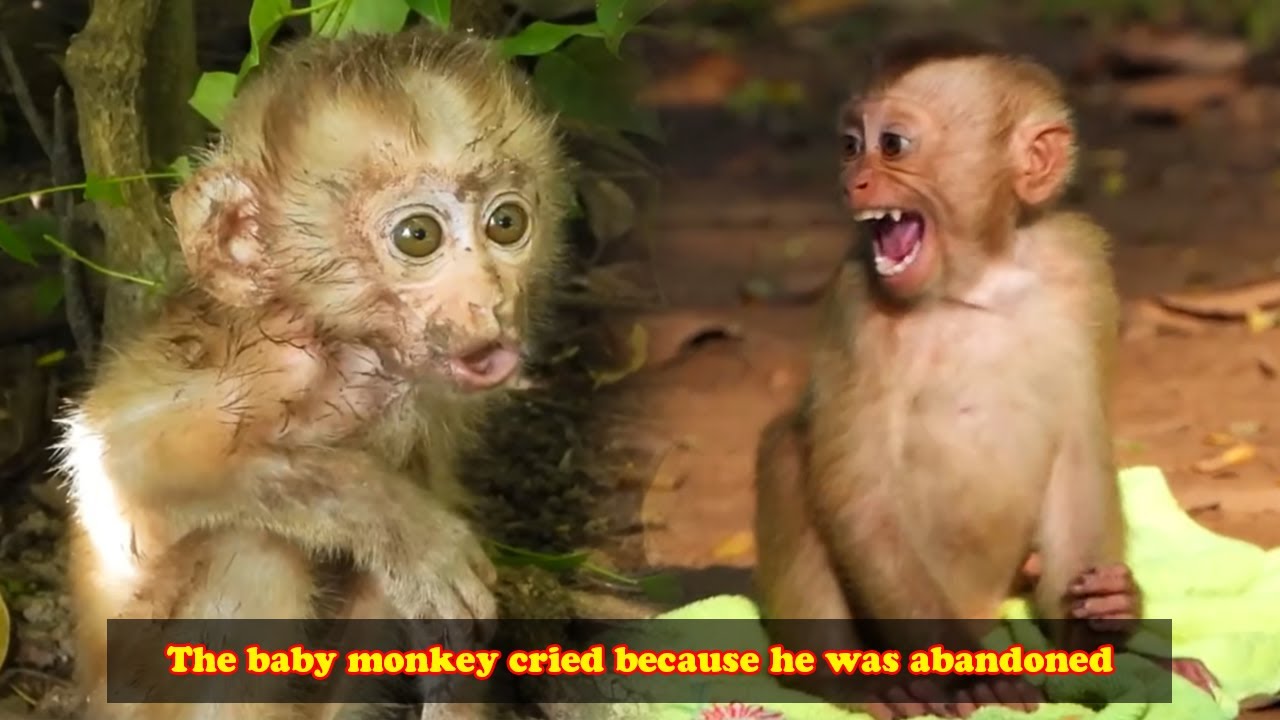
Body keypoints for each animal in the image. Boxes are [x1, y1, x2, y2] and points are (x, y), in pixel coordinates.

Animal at [56, 28, 574, 720]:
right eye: (418, 236)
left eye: (507, 224)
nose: (492, 298)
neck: (352, 358)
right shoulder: (259, 367)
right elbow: (119, 463)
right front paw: (398, 524)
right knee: (253, 547)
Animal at [753, 34, 1206, 719]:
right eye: (851, 145)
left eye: (893, 145)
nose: (853, 180)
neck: (976, 280)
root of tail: (984, 608)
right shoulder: (856, 297)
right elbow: (860, 489)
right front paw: (967, 675)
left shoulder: (1081, 268)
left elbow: (1079, 446)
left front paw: (1100, 623)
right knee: (790, 448)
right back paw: (842, 676)